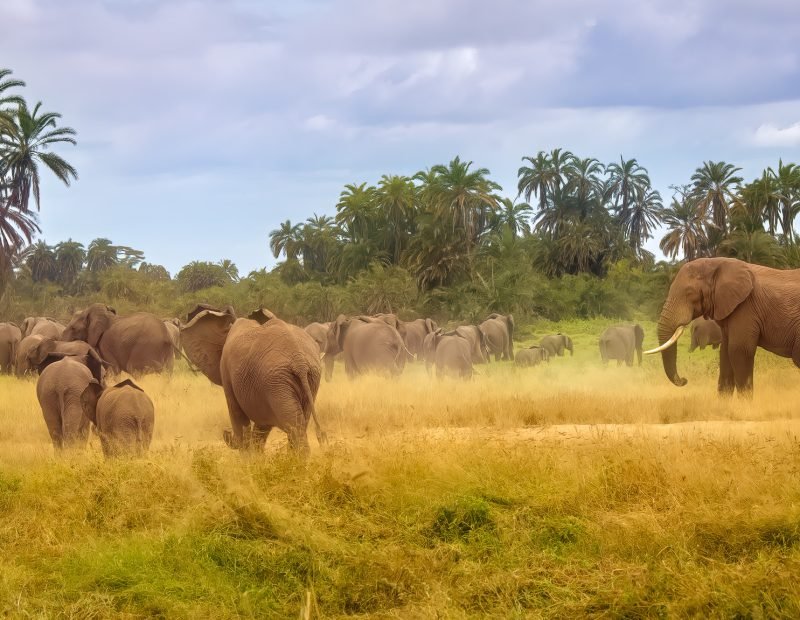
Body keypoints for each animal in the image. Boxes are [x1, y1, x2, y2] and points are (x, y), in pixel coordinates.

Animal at [181, 305, 325, 453]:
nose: (225, 432)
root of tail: (299, 361)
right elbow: (262, 425)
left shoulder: (227, 372)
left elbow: (237, 415)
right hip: (306, 378)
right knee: (300, 422)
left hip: (276, 382)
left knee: (294, 427)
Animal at [646, 257, 800, 396]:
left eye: (689, 292)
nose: (684, 380)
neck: (717, 263)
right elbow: (725, 353)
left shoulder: (746, 308)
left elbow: (739, 350)